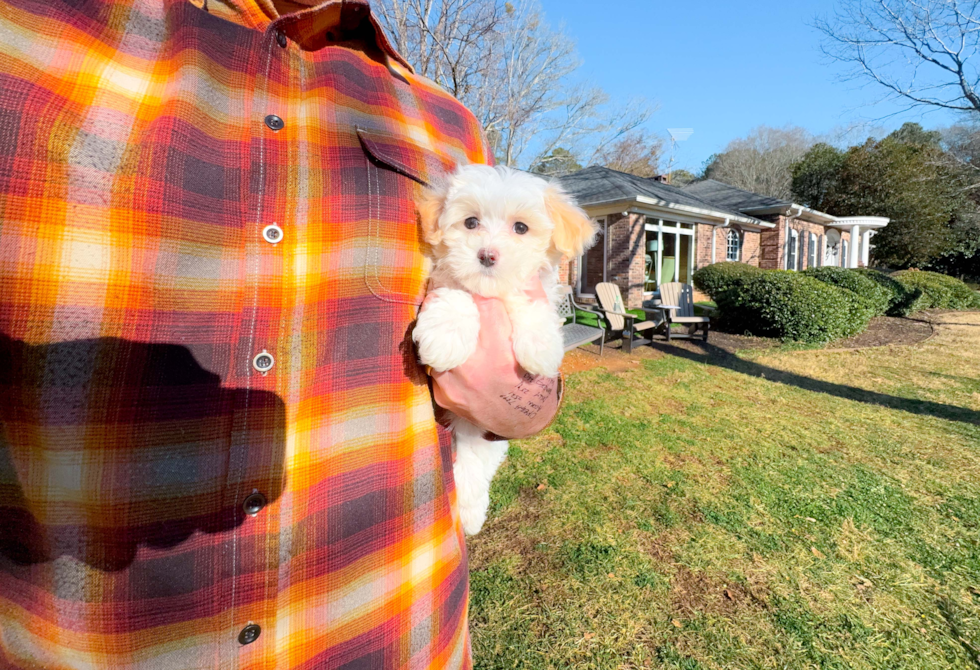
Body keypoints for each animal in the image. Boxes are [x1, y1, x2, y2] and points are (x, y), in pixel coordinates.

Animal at [414, 165, 596, 540]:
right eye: (470, 222)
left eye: (521, 228)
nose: (486, 255)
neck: (492, 293)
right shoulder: (444, 281)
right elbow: (456, 295)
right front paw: (446, 337)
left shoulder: (536, 290)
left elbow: (532, 303)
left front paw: (541, 345)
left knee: (475, 464)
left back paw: (470, 513)